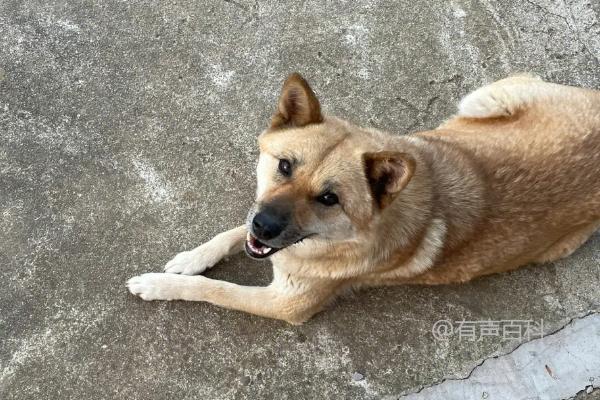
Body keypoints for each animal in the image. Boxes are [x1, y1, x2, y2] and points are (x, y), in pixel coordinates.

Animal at [126, 73, 600, 324]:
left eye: (328, 198)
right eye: (285, 166)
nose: (265, 227)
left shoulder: (284, 304)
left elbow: (215, 289)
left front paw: (159, 285)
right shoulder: (258, 219)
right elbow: (228, 235)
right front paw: (192, 257)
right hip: (481, 102)